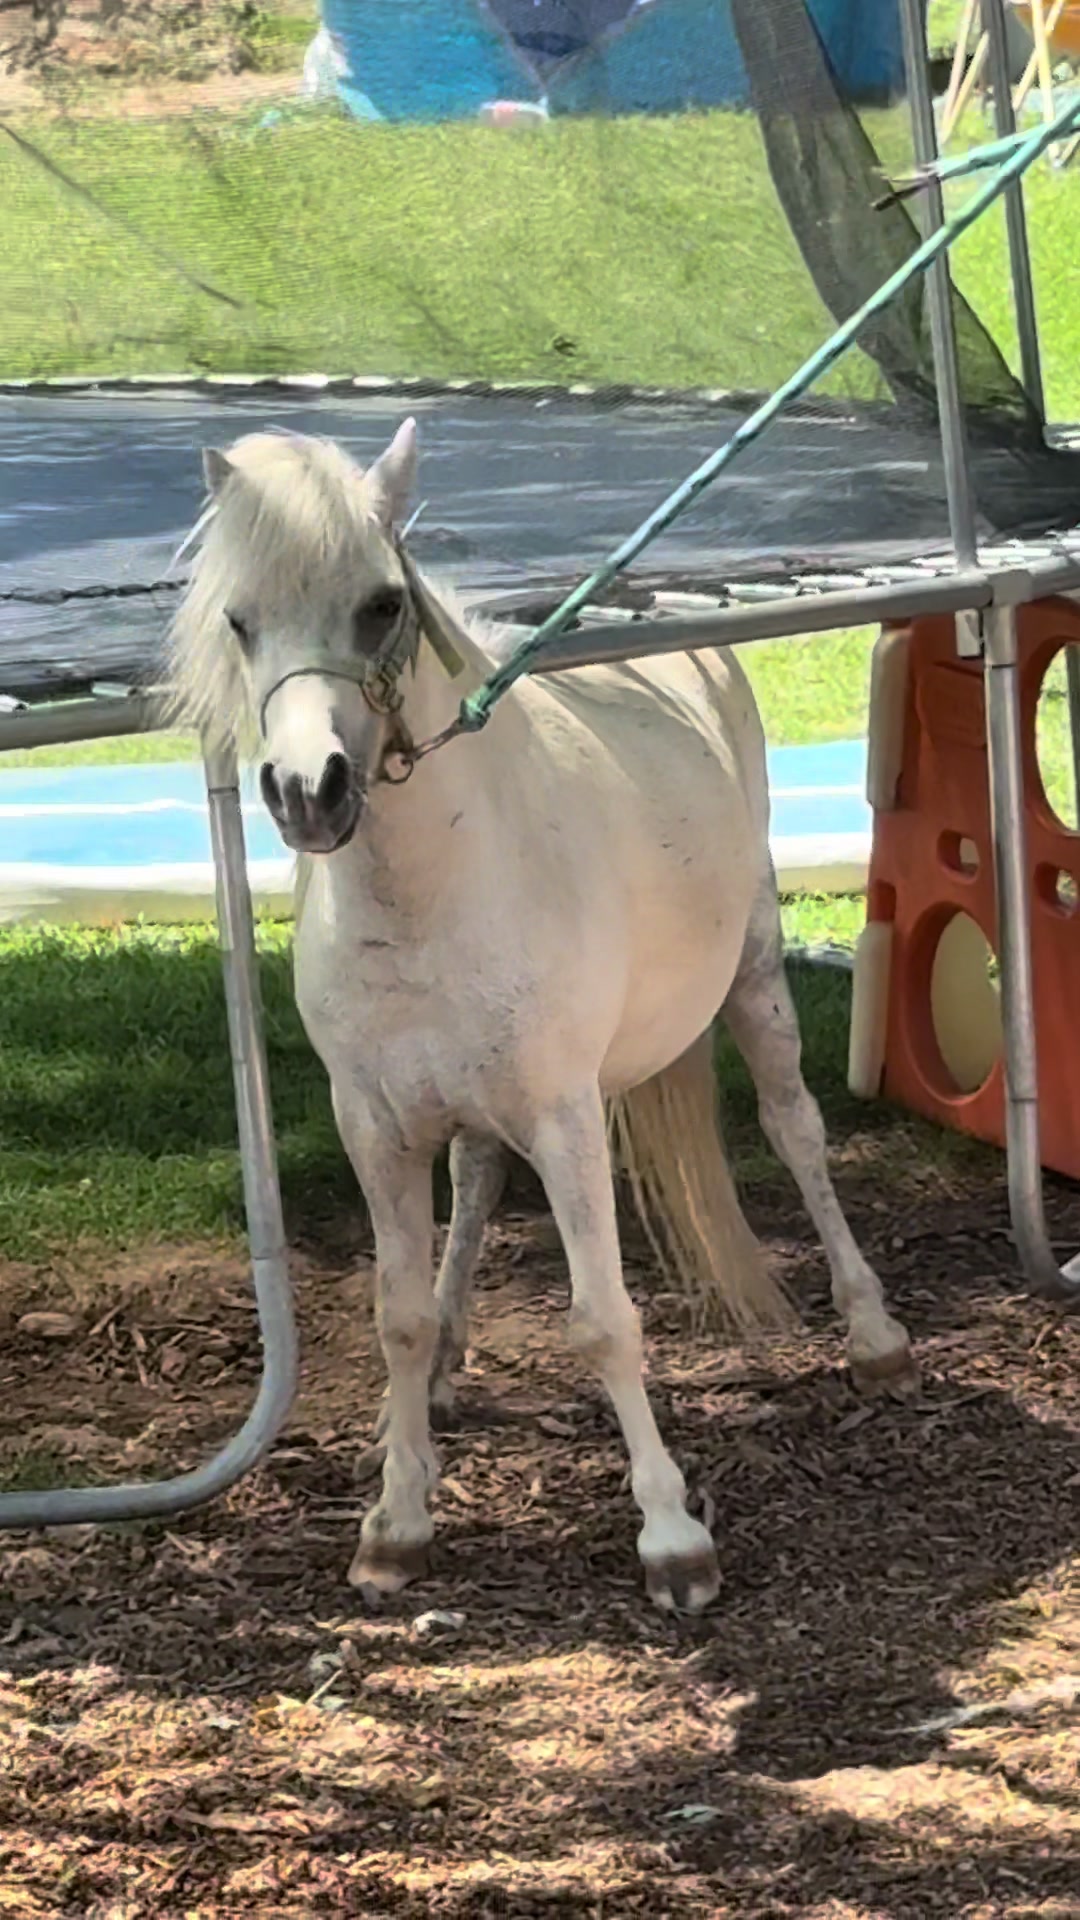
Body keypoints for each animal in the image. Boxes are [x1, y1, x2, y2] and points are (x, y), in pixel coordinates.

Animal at [169, 419, 916, 1614]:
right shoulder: (374, 1125)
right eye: (239, 620)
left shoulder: (566, 1117)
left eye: (382, 603)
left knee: (797, 1130)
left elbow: (604, 1321)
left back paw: (875, 1333)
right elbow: (398, 1318)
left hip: (755, 978)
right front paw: (397, 1522)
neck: (430, 892)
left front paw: (673, 1540)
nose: (306, 793)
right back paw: (449, 1368)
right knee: (475, 1182)